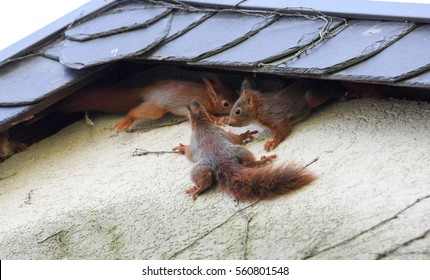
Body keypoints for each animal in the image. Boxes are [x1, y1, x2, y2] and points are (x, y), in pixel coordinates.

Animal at [58, 74, 237, 131]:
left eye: (235, 92)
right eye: (226, 104)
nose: (237, 109)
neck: (207, 96)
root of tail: (146, 90)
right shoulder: (199, 105)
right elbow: (209, 116)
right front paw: (219, 120)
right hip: (156, 108)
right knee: (133, 111)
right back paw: (125, 121)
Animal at [171, 102, 316, 201]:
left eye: (199, 106)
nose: (193, 102)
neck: (202, 124)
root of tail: (222, 162)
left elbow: (235, 138)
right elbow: (235, 139)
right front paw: (182, 148)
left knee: (208, 179)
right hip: (229, 156)